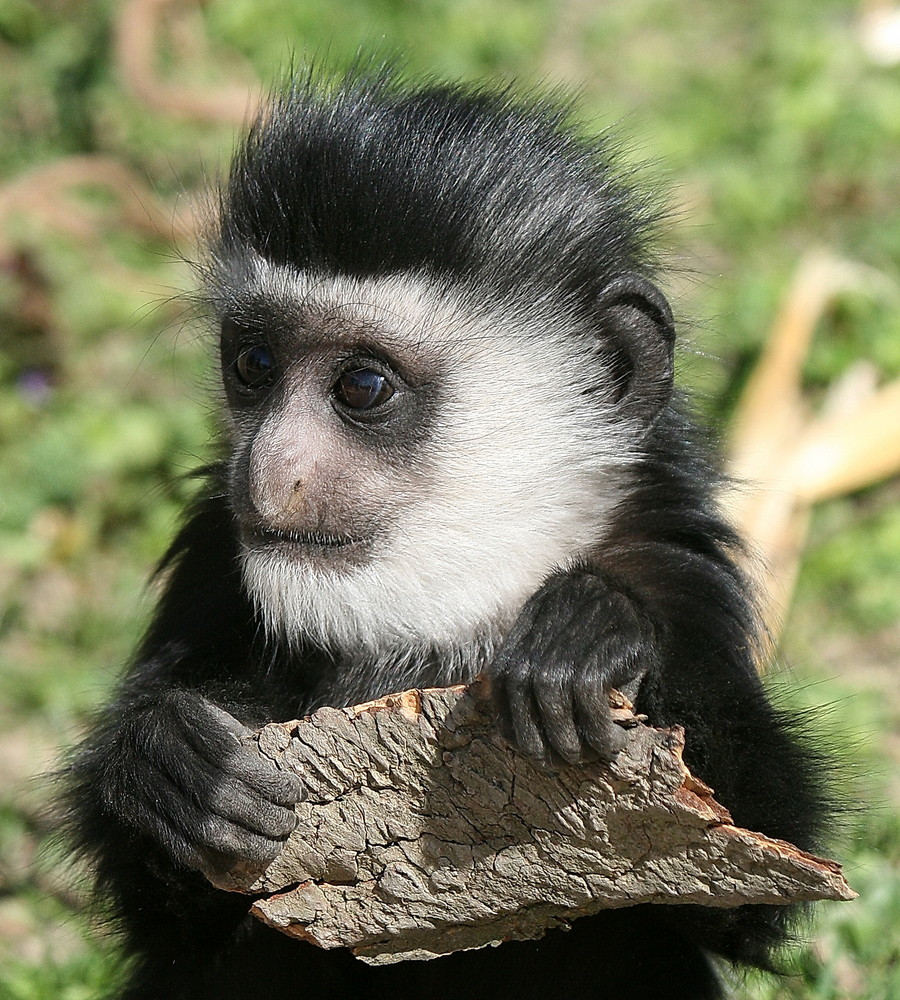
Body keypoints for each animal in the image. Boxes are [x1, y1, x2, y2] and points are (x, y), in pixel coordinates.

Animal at [65, 72, 828, 1000]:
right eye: (252, 366)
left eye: (361, 386)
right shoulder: (214, 553)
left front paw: (595, 632)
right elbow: (174, 931)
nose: (269, 470)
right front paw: (170, 762)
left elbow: (755, 879)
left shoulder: (677, 568)